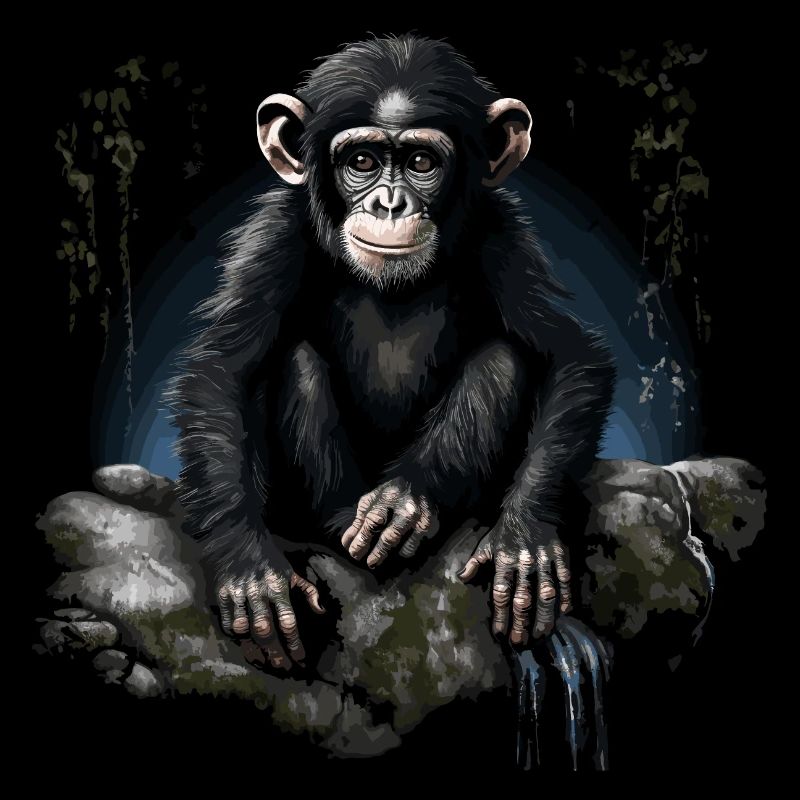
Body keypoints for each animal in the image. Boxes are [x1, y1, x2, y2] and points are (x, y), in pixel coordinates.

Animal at [167, 34, 616, 671]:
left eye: (421, 163)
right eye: (361, 162)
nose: (389, 203)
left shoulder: (503, 234)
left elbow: (571, 355)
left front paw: (524, 540)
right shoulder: (275, 234)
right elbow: (222, 369)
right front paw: (248, 570)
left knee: (502, 360)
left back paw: (405, 505)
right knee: (297, 360)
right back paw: (342, 524)